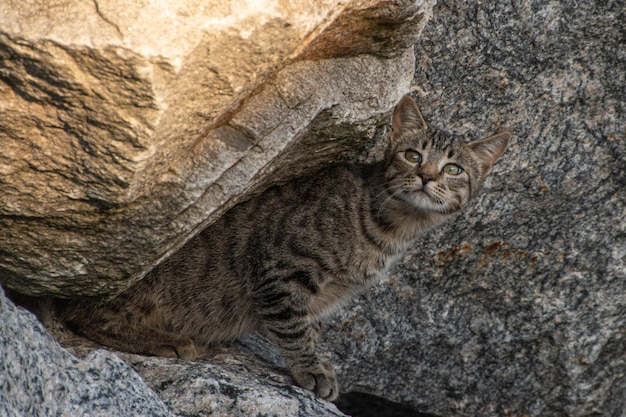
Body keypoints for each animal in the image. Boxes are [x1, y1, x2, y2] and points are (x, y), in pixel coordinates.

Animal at [58, 94, 510, 400]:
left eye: (454, 169)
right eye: (412, 155)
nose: (427, 176)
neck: (391, 229)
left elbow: (308, 326)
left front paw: (319, 361)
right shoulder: (281, 267)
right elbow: (293, 327)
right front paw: (311, 369)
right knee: (83, 315)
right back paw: (163, 340)